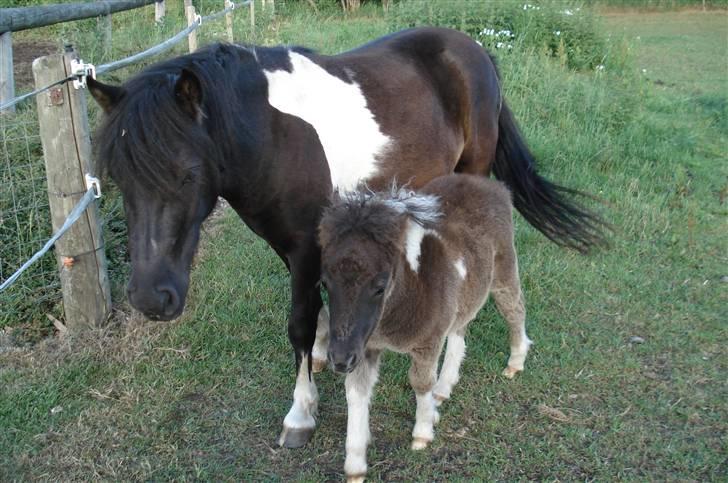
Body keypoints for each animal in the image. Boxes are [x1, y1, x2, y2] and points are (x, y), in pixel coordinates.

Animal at [88, 26, 604, 450]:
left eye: (189, 172)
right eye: (116, 177)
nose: (152, 299)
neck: (272, 133)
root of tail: (473, 49)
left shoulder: (305, 246)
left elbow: (298, 323)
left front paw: (300, 414)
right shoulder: (297, 248)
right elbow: (317, 310)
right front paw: (321, 352)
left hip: (472, 175)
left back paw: (446, 378)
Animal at [318, 175, 528, 483]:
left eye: (380, 286)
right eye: (324, 283)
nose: (340, 359)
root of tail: (490, 184)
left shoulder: (426, 342)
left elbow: (420, 382)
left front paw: (422, 433)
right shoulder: (365, 346)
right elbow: (356, 392)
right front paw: (355, 465)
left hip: (504, 269)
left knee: (514, 309)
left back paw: (515, 362)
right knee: (460, 330)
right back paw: (444, 388)